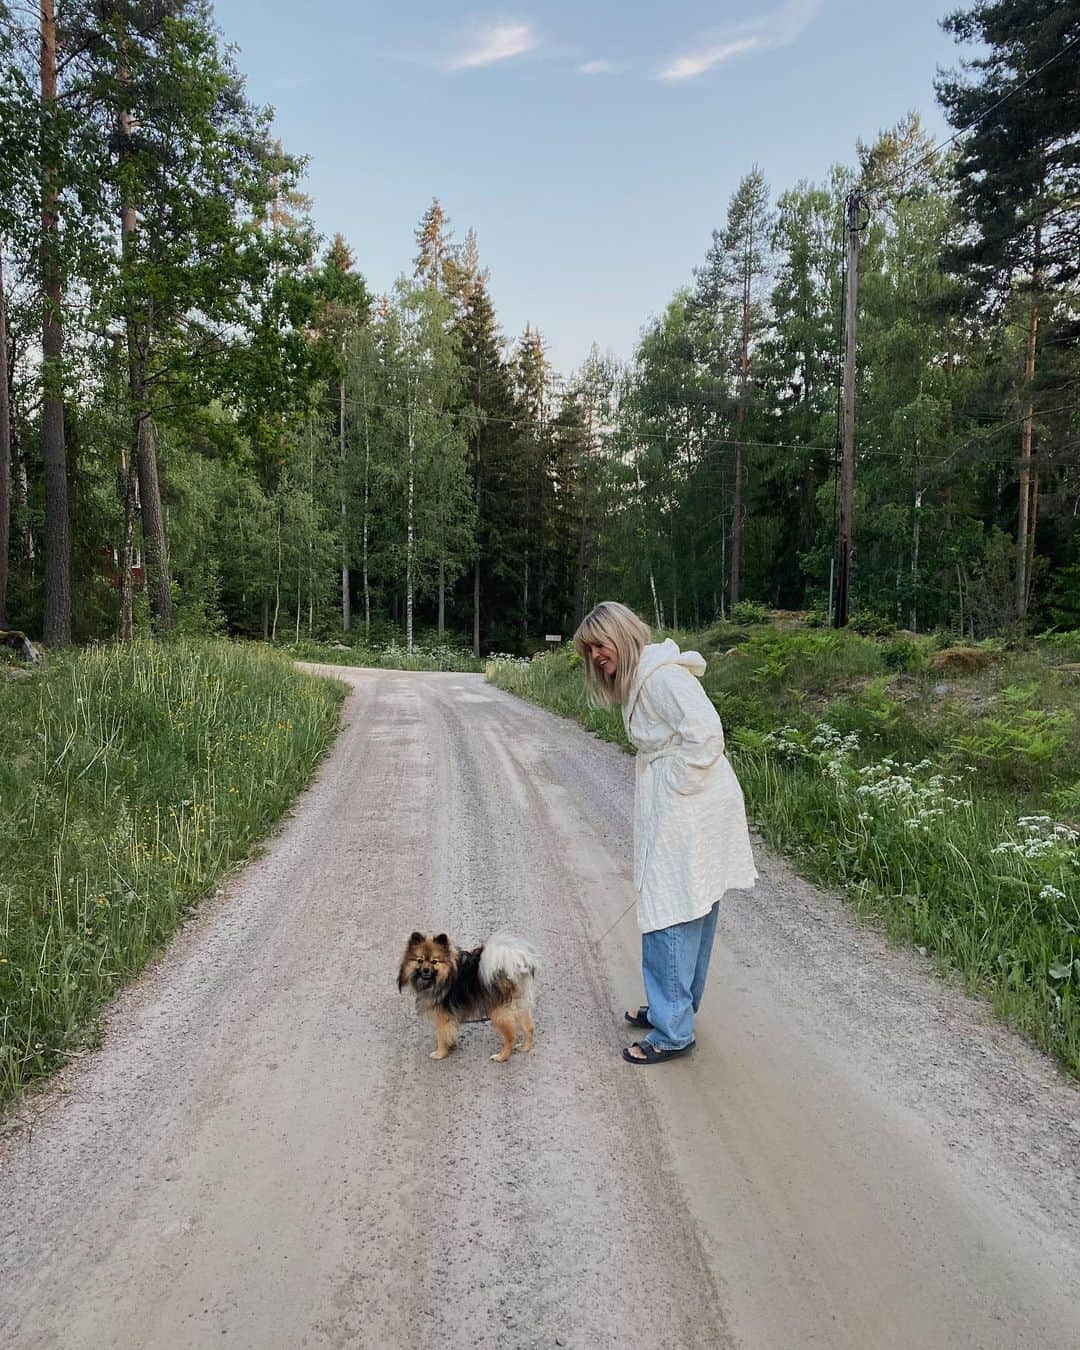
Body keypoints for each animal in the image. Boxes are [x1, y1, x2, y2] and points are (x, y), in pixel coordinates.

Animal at [399, 928, 537, 1063]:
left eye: (434, 961)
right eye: (419, 960)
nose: (425, 970)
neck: (444, 976)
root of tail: (513, 966)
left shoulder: (442, 1016)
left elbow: (441, 1036)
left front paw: (440, 1053)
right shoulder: (450, 1017)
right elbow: (450, 1032)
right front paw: (451, 1046)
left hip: (500, 1013)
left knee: (511, 1037)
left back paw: (501, 1057)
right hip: (519, 1005)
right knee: (529, 1028)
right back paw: (525, 1047)